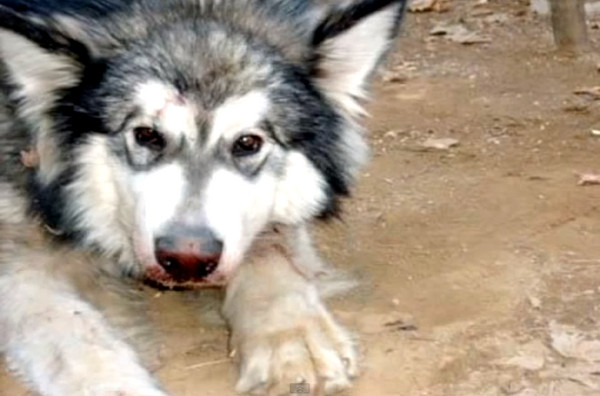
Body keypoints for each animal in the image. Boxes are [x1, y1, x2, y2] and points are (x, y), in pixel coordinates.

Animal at [0, 0, 408, 392]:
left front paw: (292, 338)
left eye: (248, 142)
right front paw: (115, 385)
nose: (188, 260)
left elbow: (269, 247)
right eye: (146, 135)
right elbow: (64, 324)